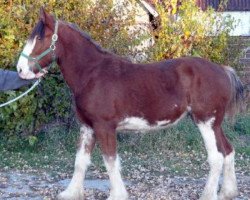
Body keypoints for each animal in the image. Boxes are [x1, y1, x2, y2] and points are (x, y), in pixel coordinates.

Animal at [16, 7, 243, 200]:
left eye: (39, 37)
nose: (20, 70)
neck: (92, 74)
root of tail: (223, 70)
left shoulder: (104, 126)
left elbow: (110, 161)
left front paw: (117, 195)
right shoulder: (87, 126)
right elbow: (80, 161)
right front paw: (71, 193)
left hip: (205, 121)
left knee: (216, 157)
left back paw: (208, 195)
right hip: (215, 124)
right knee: (228, 151)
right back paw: (227, 192)